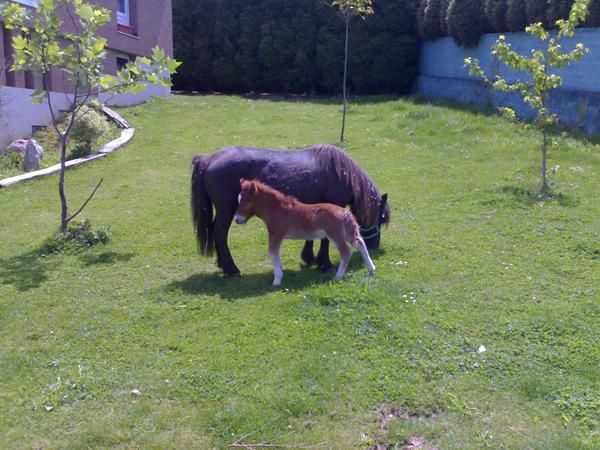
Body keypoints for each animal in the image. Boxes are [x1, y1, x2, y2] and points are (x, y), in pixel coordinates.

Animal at [234, 178, 376, 284]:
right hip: (347, 233)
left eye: (246, 201)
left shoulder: (276, 234)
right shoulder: (276, 235)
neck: (277, 209)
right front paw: (280, 273)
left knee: (346, 252)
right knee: (360, 243)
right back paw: (371, 269)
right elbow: (276, 253)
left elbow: (272, 253)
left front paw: (277, 279)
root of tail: (345, 212)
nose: (237, 219)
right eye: (238, 200)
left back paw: (338, 276)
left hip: (336, 235)